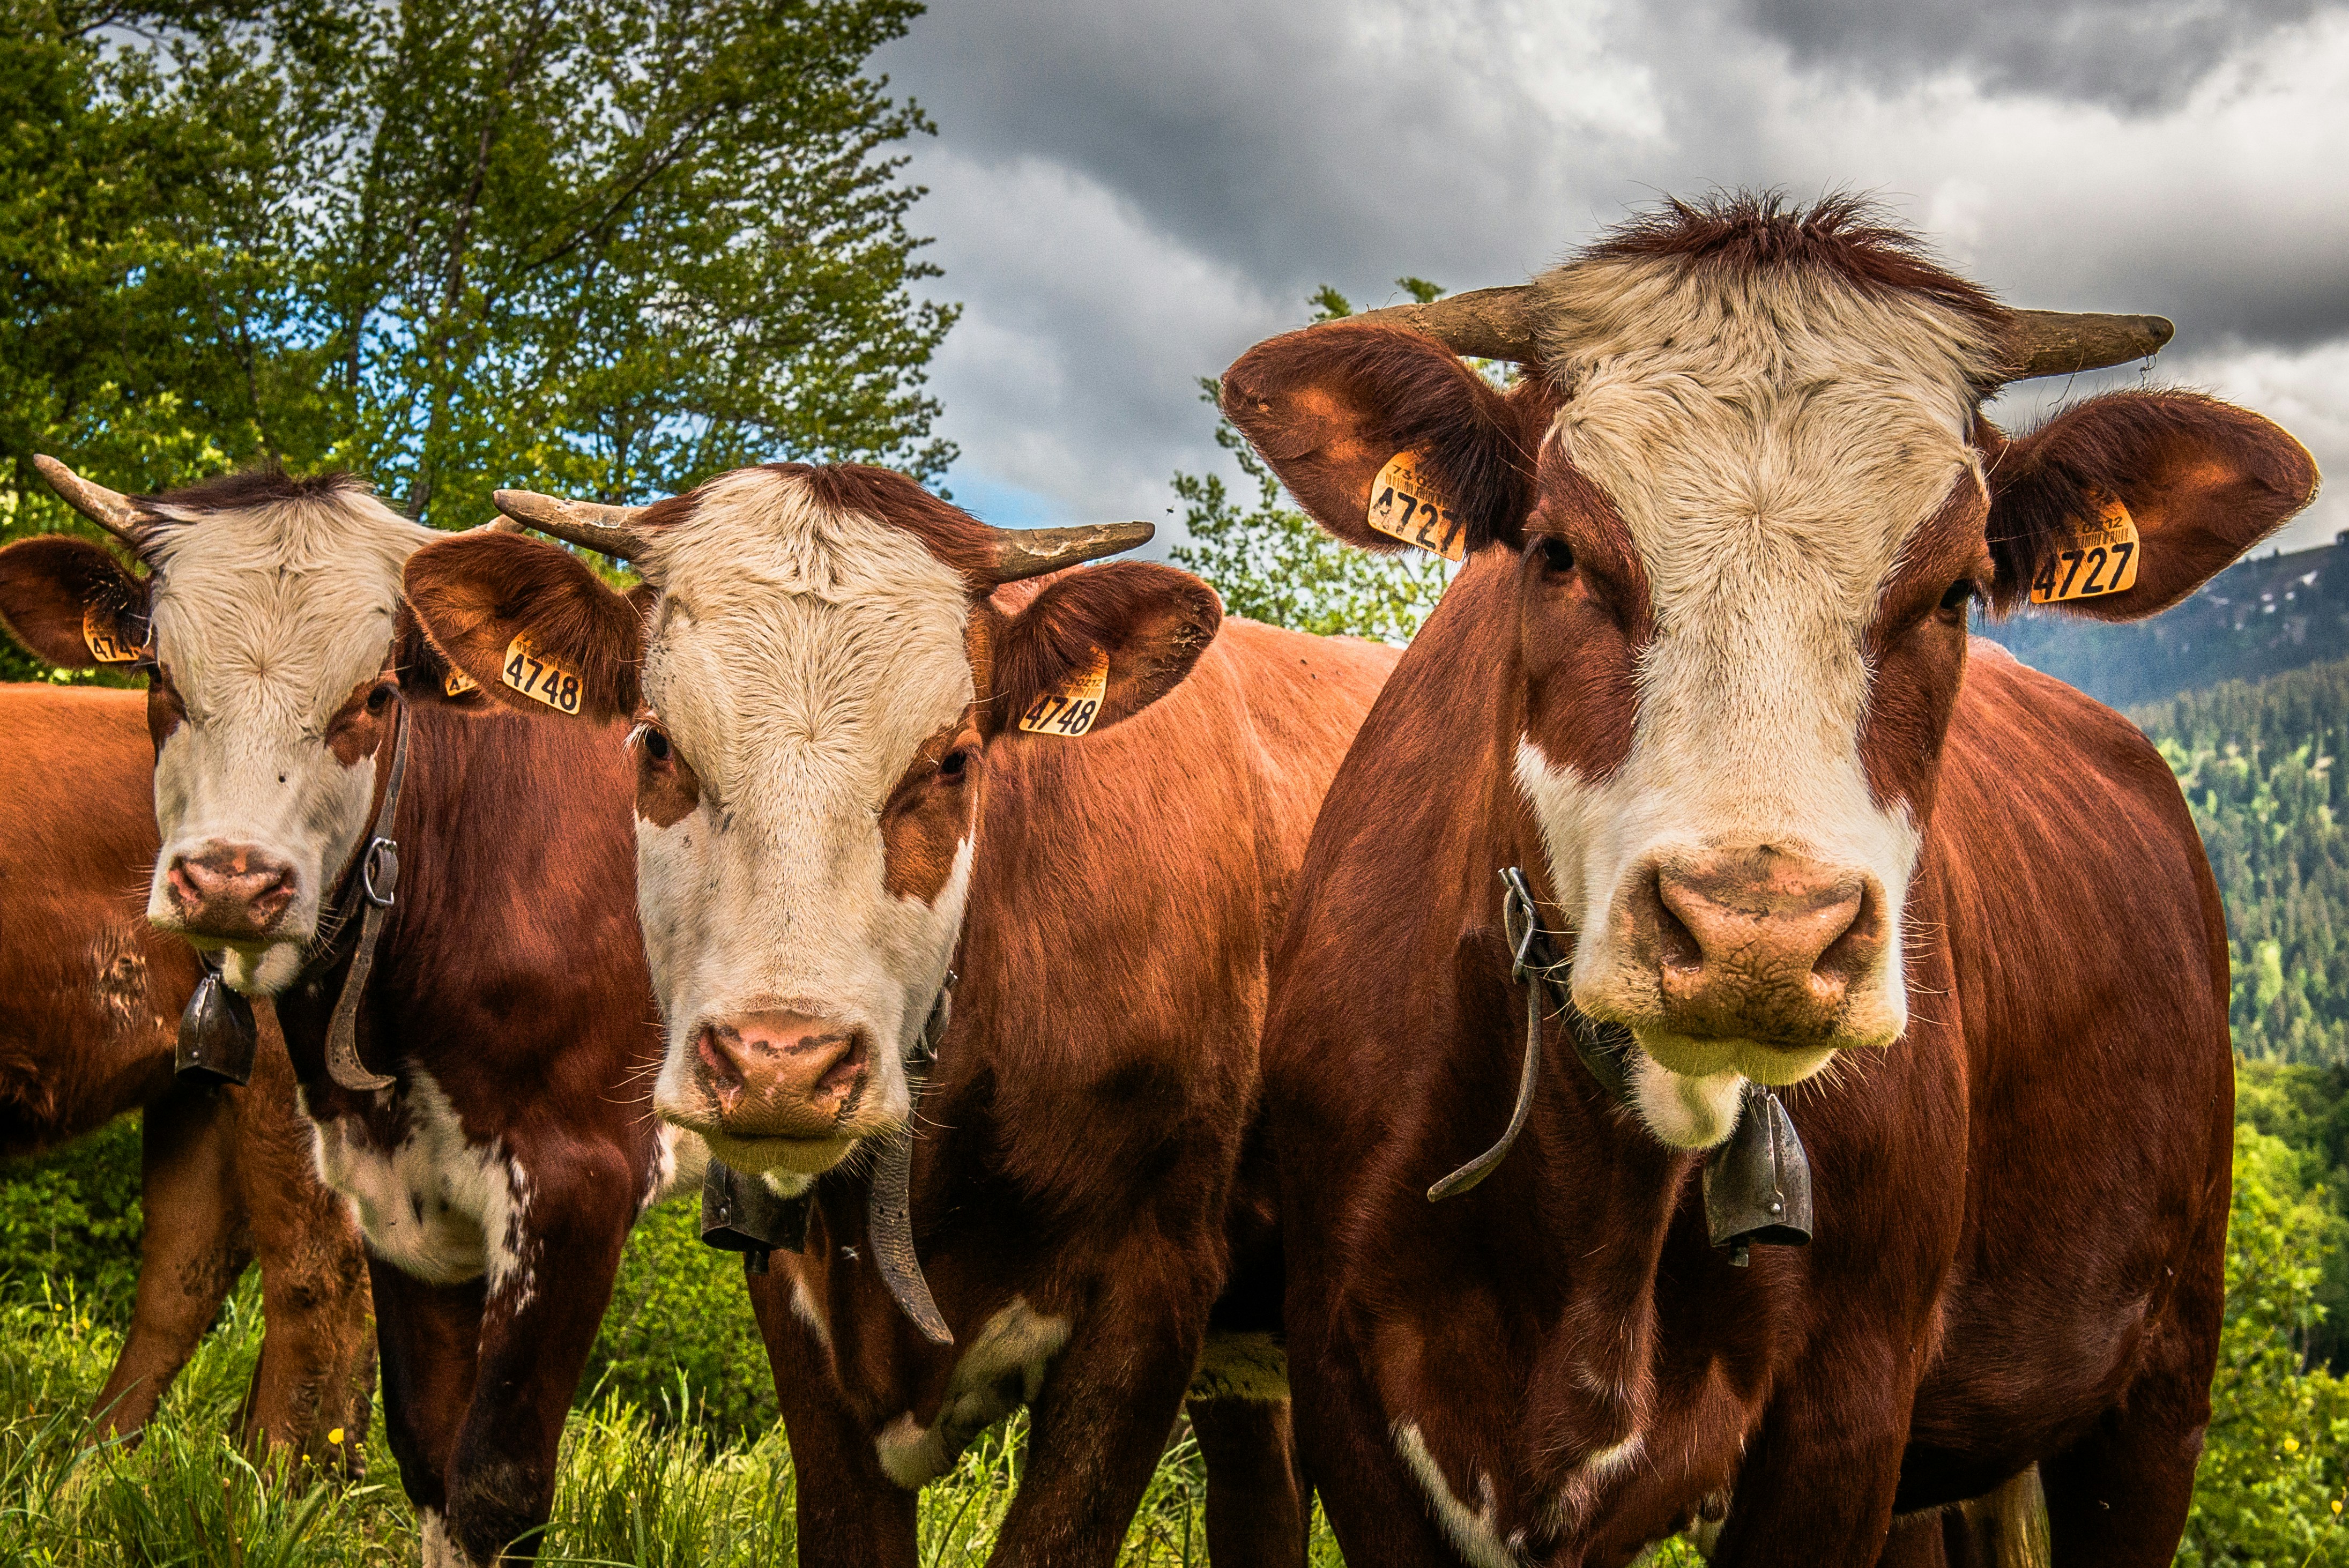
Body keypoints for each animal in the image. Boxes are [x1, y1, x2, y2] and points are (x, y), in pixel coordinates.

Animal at [0, 682, 375, 1459]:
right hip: (197, 1087)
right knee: (186, 1269)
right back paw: (91, 1467)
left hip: (281, 1086)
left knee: (314, 1271)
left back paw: (272, 1482)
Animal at [1215, 194, 2316, 1565]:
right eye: (1557, 551)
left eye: (1955, 590)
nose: (1759, 932)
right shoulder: (1344, 1381)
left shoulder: (1850, 1405)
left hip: (2159, 1374)